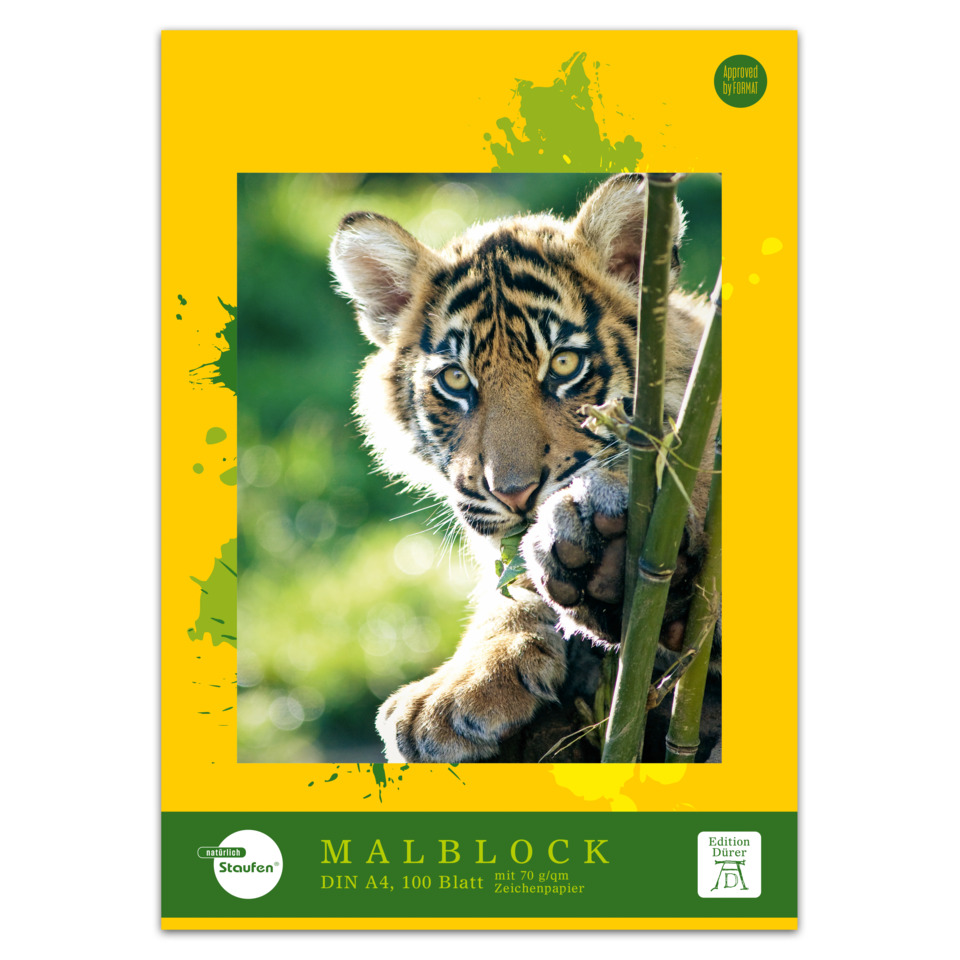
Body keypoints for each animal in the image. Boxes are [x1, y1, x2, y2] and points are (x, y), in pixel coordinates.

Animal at [330, 173, 720, 764]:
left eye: (564, 363)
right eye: (456, 380)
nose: (514, 494)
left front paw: (601, 537)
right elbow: (508, 587)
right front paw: (457, 689)